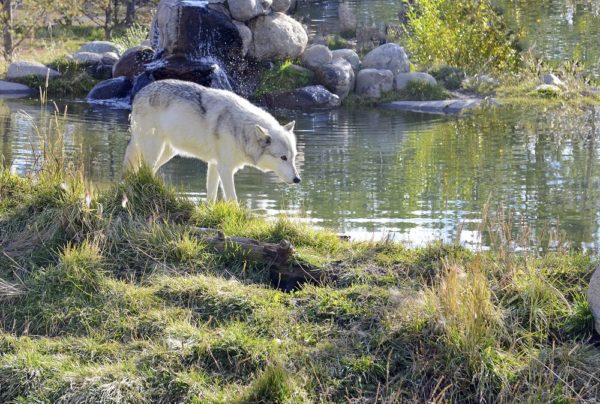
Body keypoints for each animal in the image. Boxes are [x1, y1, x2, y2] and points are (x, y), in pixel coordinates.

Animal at [123, 79, 300, 202]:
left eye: (293, 157)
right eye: (283, 157)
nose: (297, 179)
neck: (241, 128)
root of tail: (138, 94)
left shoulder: (214, 165)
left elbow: (211, 197)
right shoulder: (225, 169)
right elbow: (233, 199)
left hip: (166, 154)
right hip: (155, 151)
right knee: (143, 171)